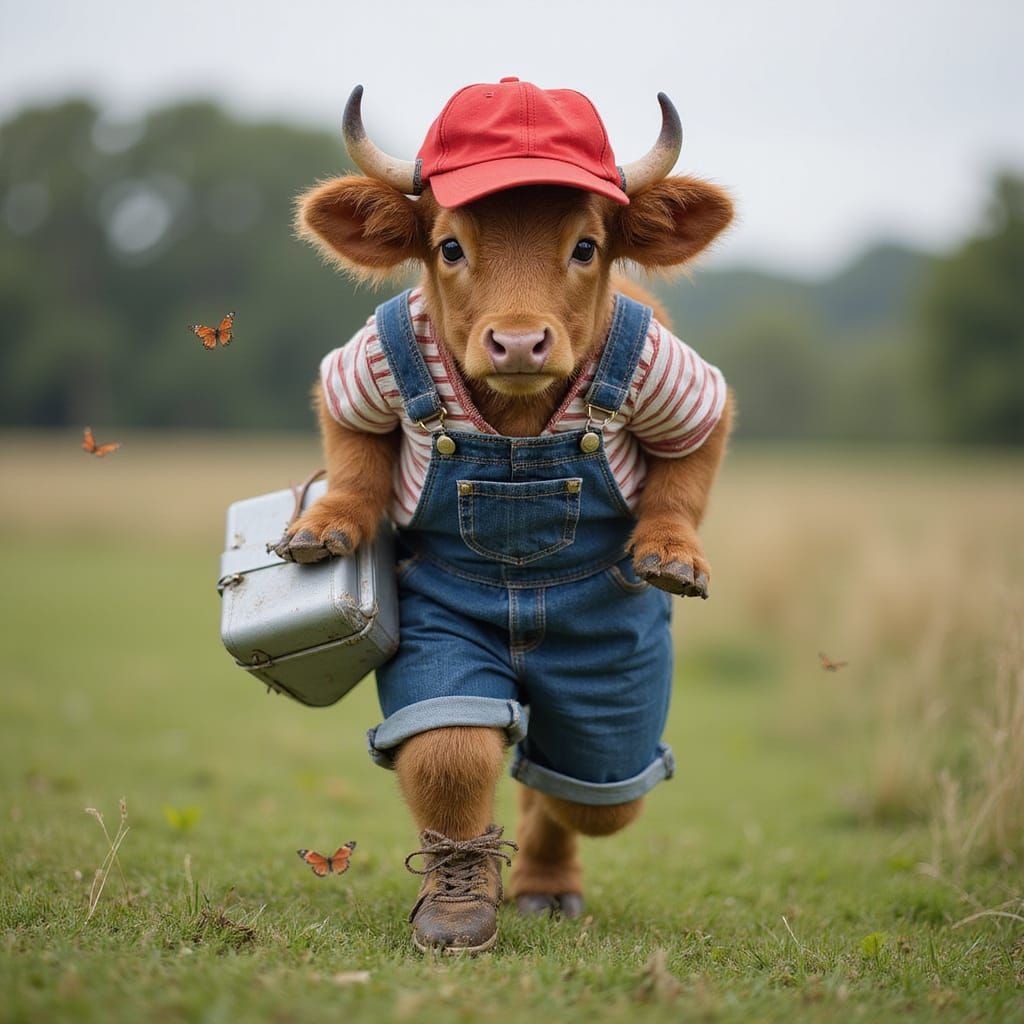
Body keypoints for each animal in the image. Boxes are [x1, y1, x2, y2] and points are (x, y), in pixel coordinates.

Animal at [276, 78, 734, 954]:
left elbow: (686, 469)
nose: (519, 343)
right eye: (451, 247)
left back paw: (548, 884)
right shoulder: (362, 368)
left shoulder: (680, 381)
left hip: (612, 703)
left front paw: (671, 549)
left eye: (585, 246)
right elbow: (450, 752)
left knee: (582, 786)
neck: (519, 425)